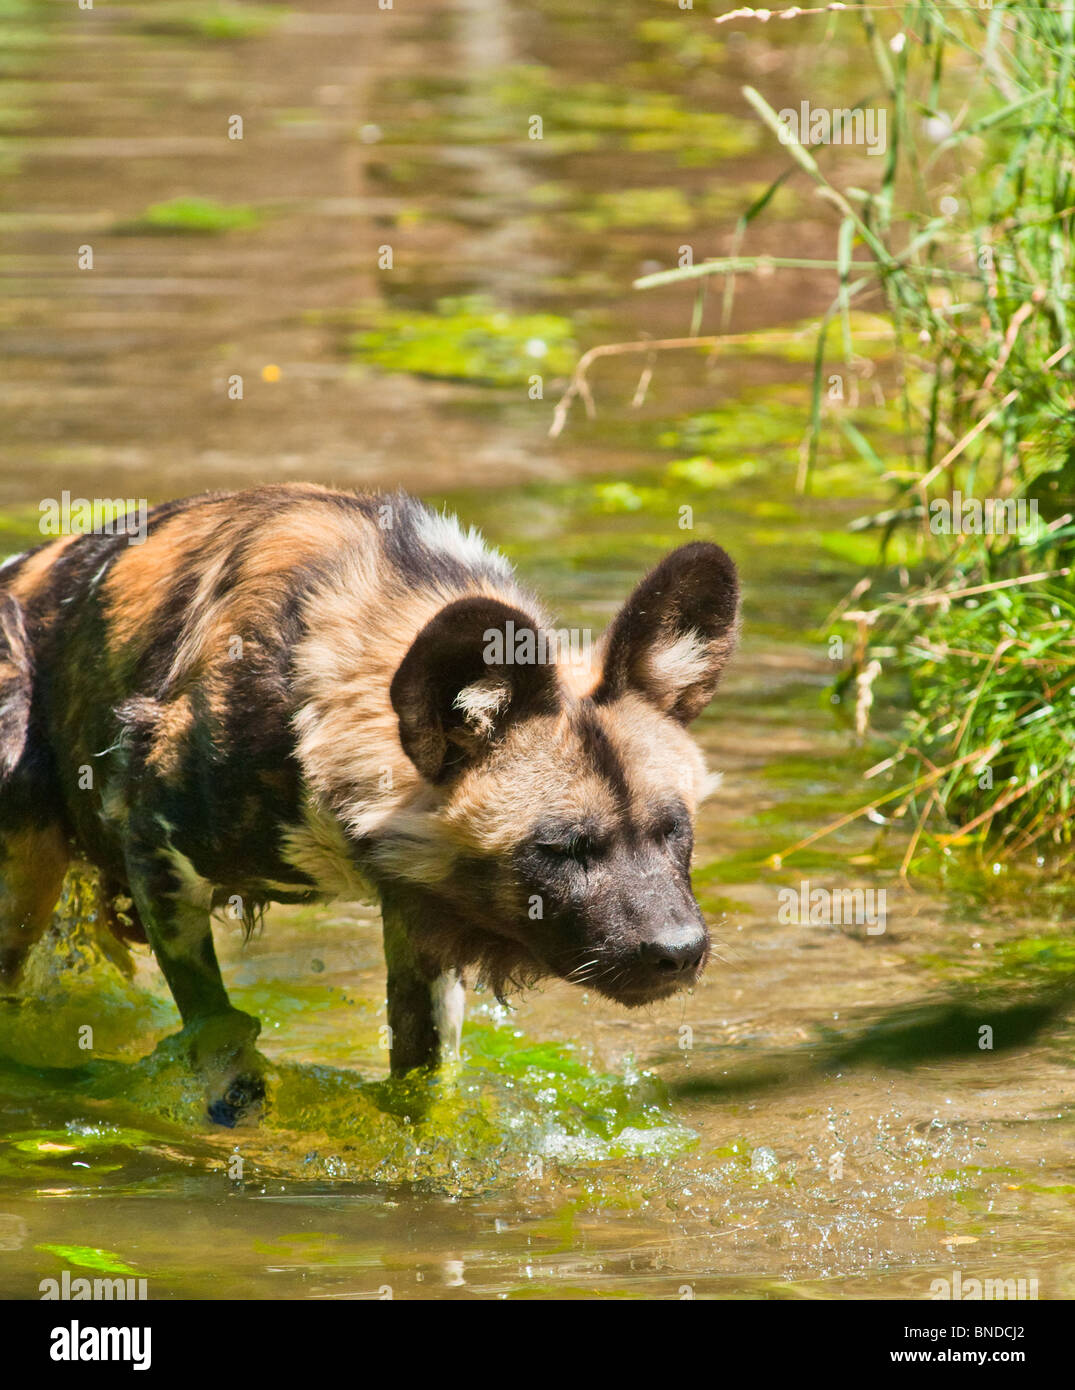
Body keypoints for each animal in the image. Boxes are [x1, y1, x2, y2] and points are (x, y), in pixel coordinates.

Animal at [0, 483, 739, 1123]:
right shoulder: (156, 848)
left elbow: (422, 1084)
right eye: (559, 848)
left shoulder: (421, 914)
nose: (678, 951)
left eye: (672, 831)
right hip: (23, 882)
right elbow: (218, 1030)